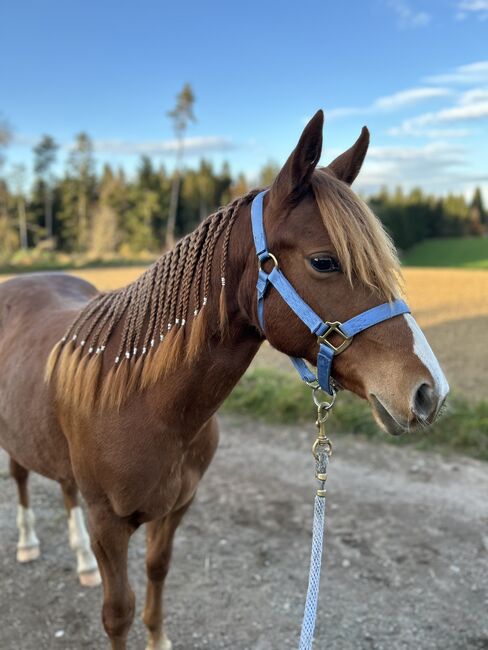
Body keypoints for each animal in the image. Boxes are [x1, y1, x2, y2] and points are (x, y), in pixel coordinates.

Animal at [0, 109, 450, 644]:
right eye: (324, 261)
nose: (429, 392)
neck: (144, 407)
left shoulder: (175, 509)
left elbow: (158, 570)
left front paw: (159, 638)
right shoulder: (109, 524)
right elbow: (118, 613)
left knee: (65, 489)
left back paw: (83, 564)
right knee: (22, 477)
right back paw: (28, 542)